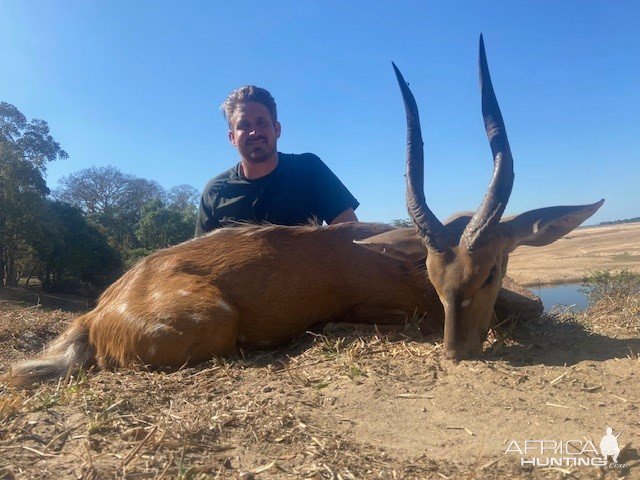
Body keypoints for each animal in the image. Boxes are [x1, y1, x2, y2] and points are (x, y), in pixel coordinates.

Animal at [5, 35, 604, 386]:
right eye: (437, 278)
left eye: (491, 271)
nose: (458, 353)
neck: (395, 263)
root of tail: (95, 314)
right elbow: (532, 307)